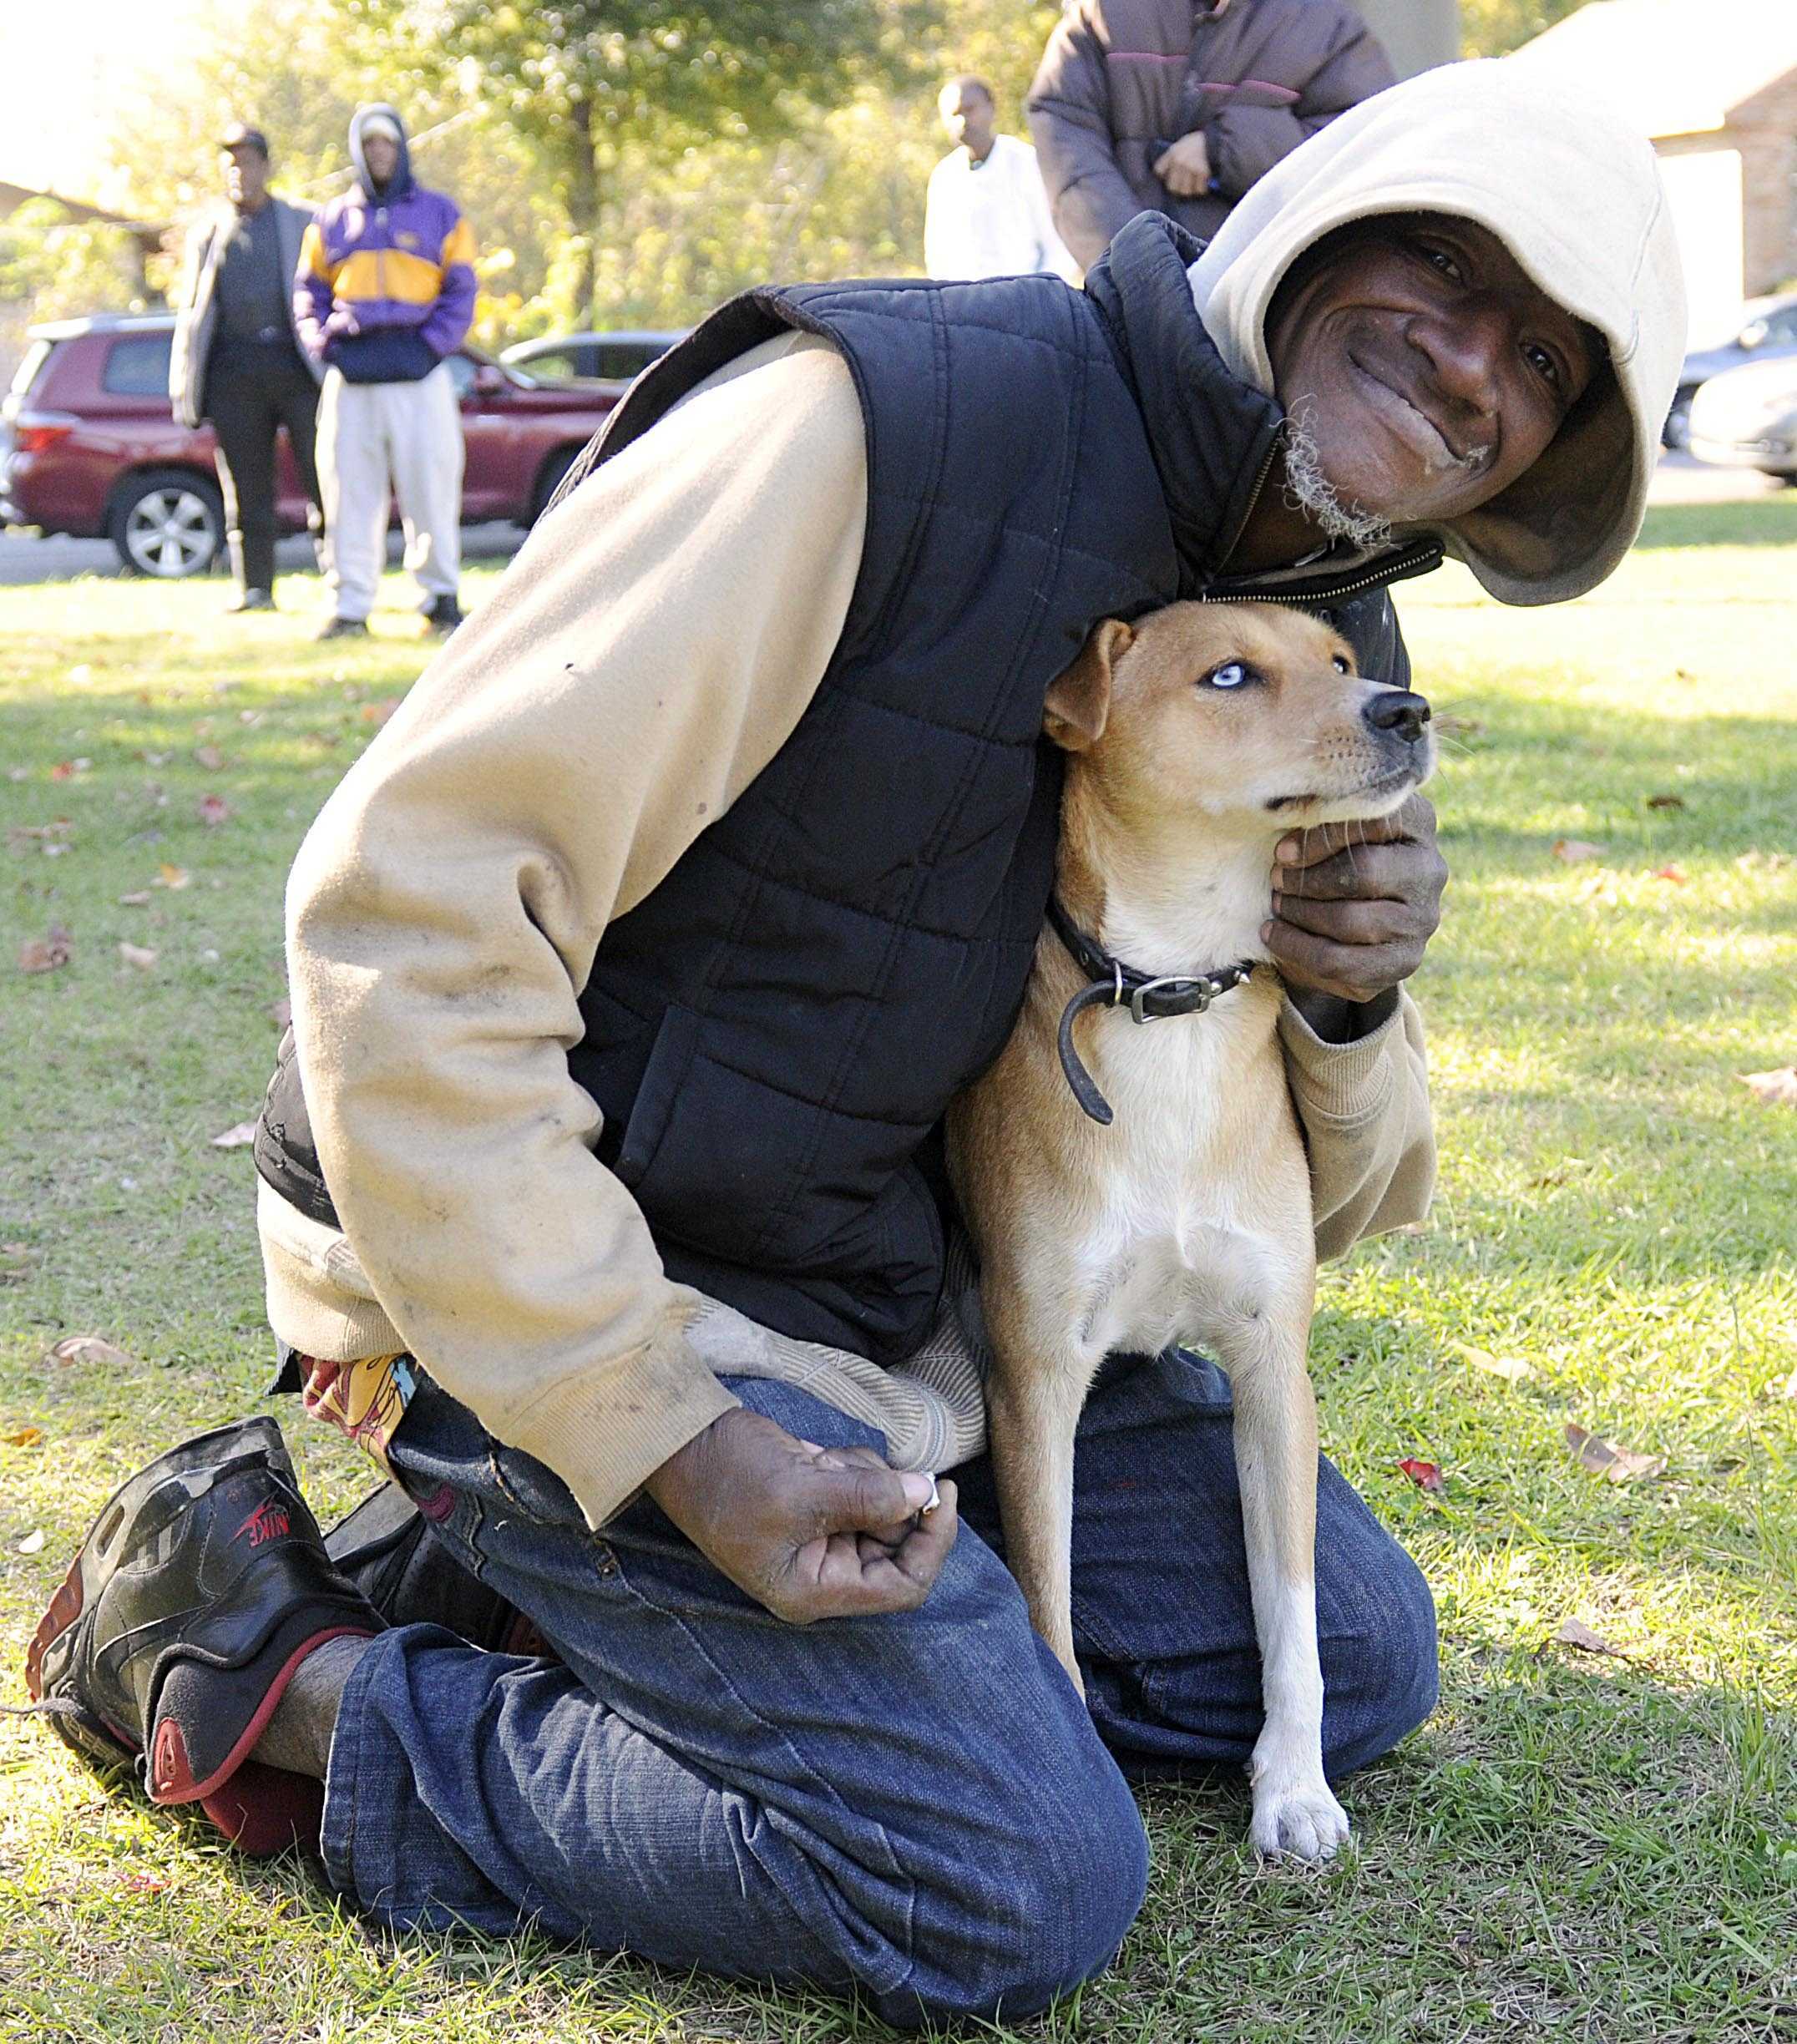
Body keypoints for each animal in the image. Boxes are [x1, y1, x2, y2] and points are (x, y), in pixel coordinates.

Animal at [948, 596, 1439, 1864]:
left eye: (1342, 660)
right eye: (1228, 676)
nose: (1406, 709)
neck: (1176, 1002)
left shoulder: (1272, 1370)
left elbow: (1295, 1626)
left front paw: (1295, 1790)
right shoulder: (1036, 1378)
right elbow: (1049, 1607)